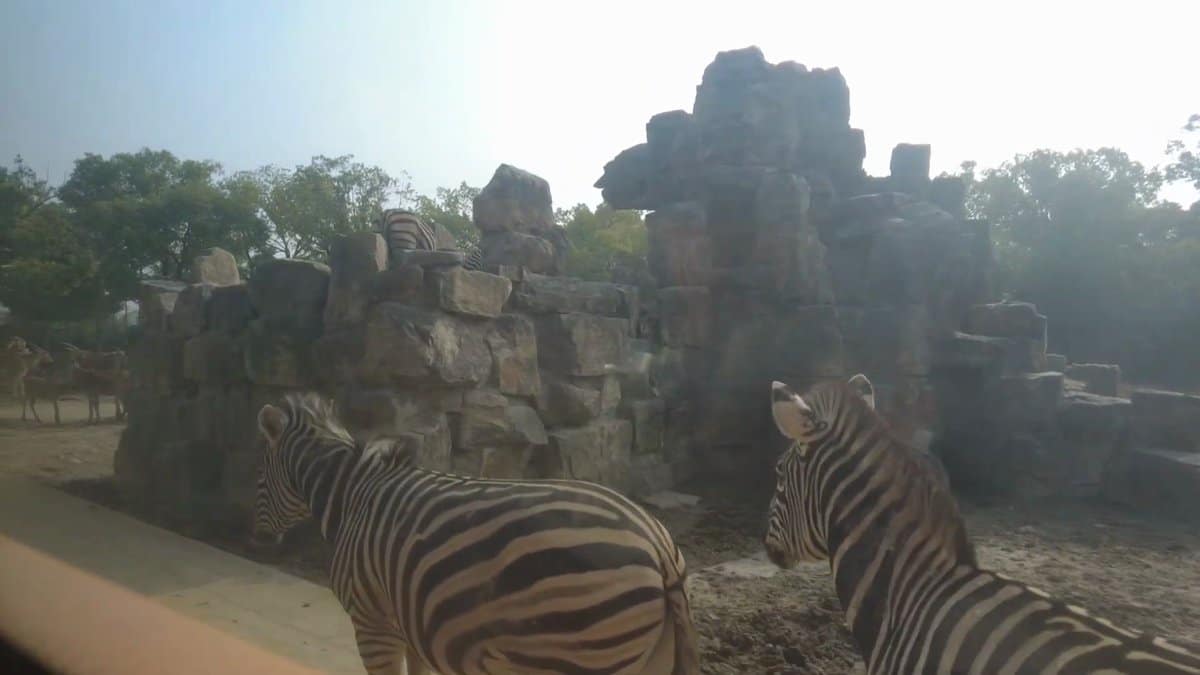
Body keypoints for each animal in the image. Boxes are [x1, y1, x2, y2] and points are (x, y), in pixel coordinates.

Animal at [252, 392, 699, 675]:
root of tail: (658, 543)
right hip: (652, 658)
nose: (253, 541)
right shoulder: (407, 623)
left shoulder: (372, 623)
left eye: (257, 477)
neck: (350, 493)